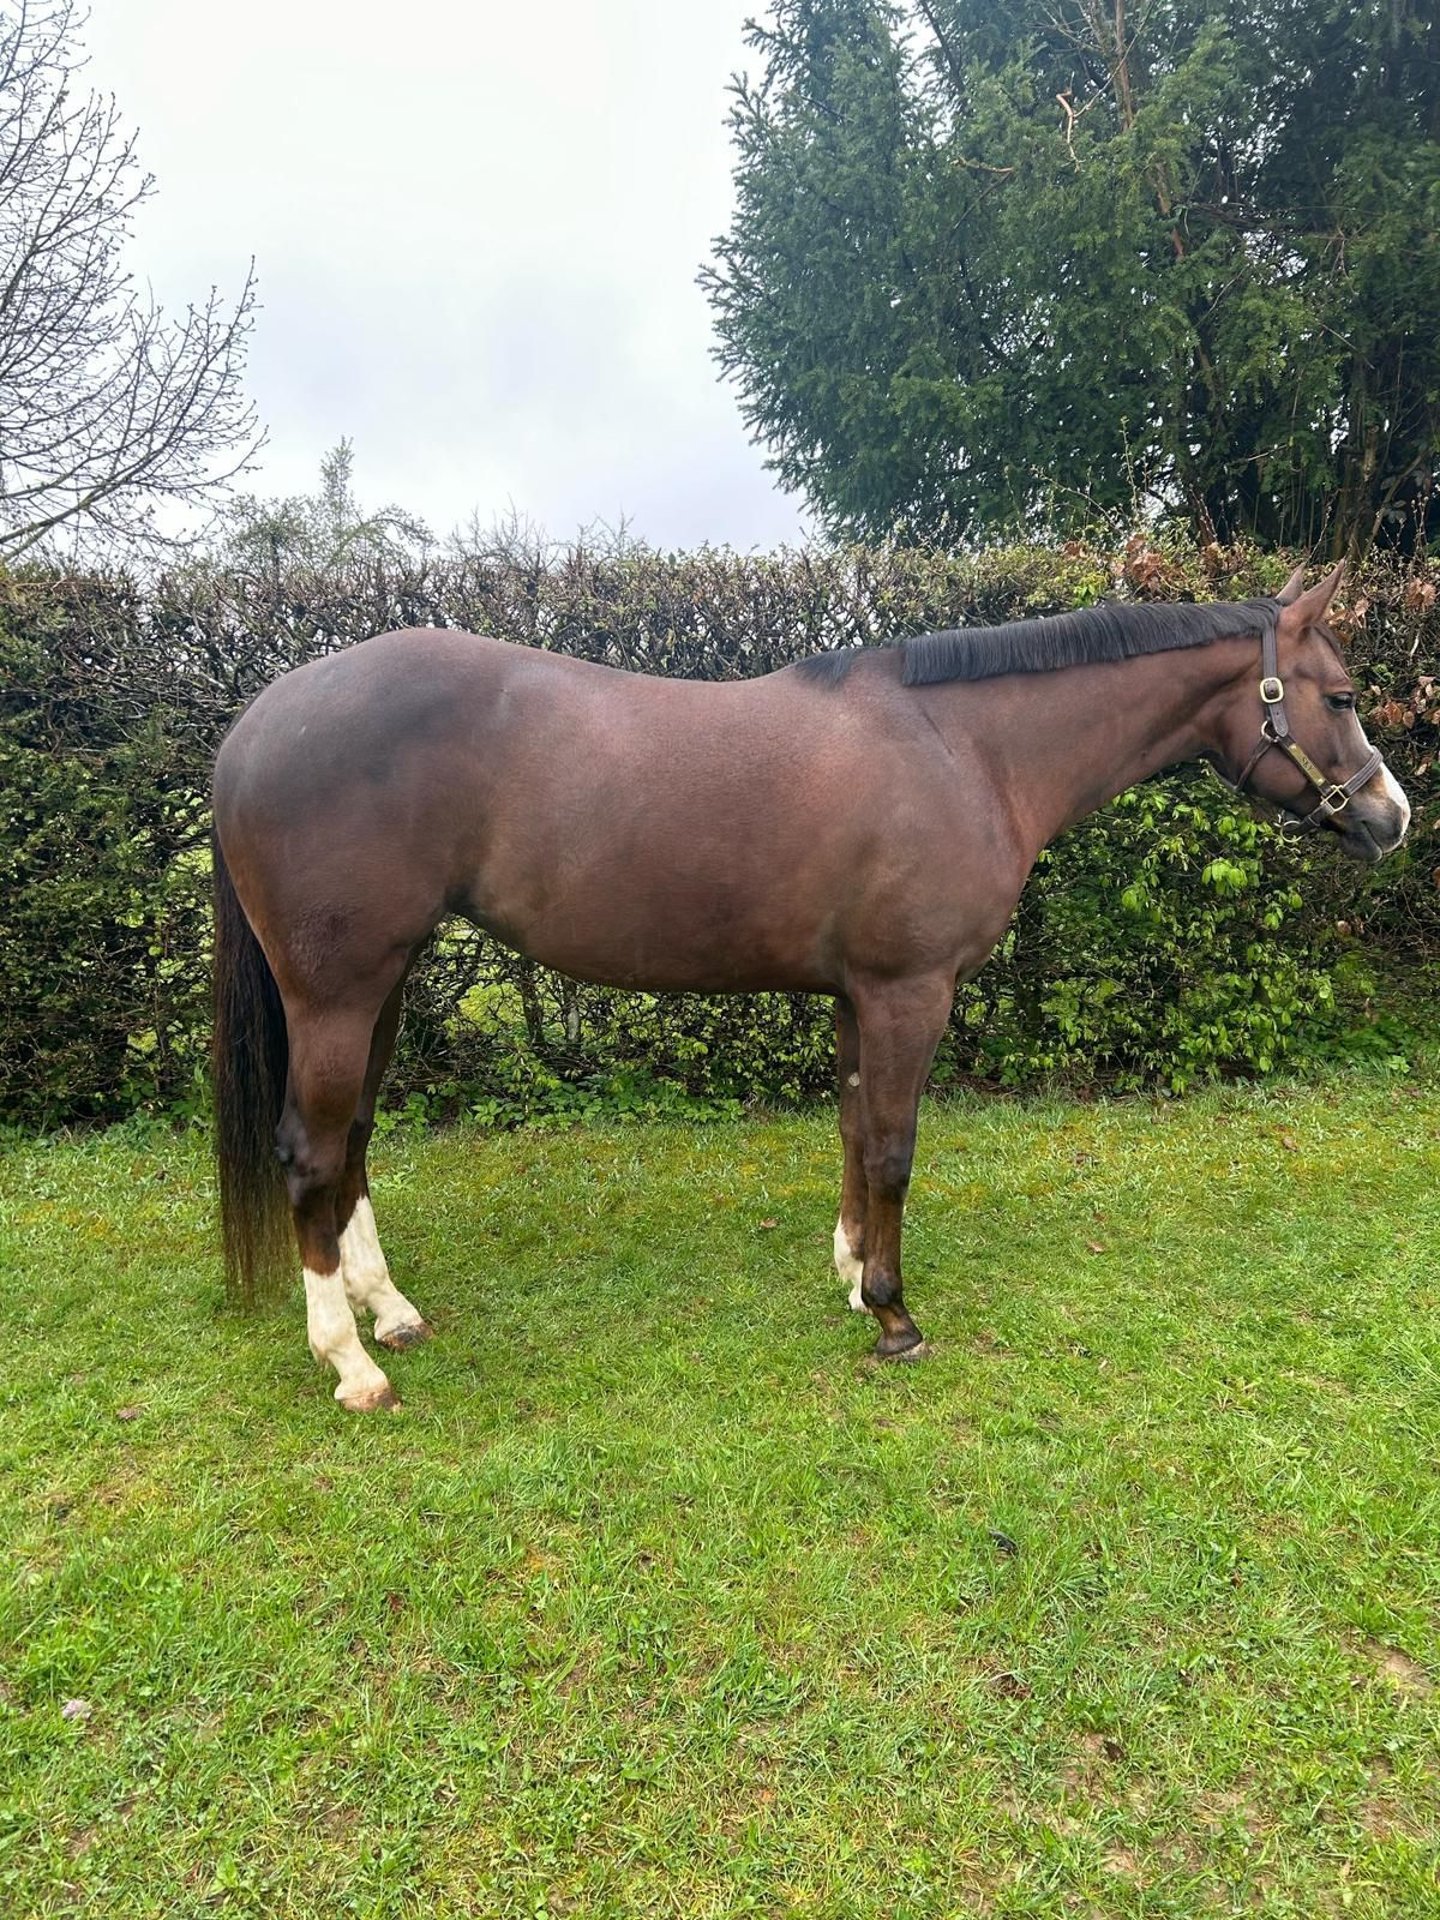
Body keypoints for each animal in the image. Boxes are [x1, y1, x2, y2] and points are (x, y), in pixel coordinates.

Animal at [211, 562, 1410, 1411]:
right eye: (1342, 695)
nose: (1393, 817)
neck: (965, 746)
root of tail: (259, 721)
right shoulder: (908, 991)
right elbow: (891, 1148)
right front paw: (892, 1315)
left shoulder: (855, 995)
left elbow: (849, 1129)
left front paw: (848, 1270)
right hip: (340, 990)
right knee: (311, 1151)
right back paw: (351, 1362)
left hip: (388, 981)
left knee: (354, 1141)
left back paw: (390, 1311)